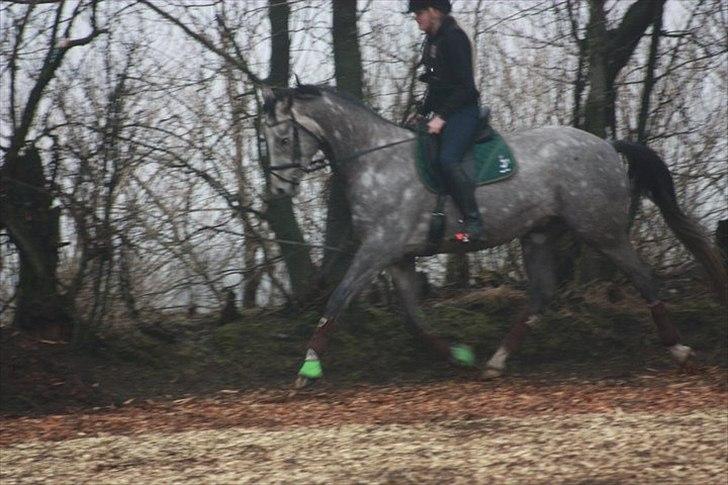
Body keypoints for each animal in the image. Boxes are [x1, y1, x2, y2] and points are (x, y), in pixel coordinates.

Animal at [258, 82, 724, 386]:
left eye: (281, 137)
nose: (278, 190)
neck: (376, 160)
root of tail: (608, 145)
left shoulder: (377, 249)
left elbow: (337, 299)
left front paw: (308, 368)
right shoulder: (399, 257)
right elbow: (414, 320)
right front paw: (460, 357)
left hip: (601, 230)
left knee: (642, 276)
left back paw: (680, 350)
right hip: (539, 234)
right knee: (541, 293)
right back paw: (495, 362)